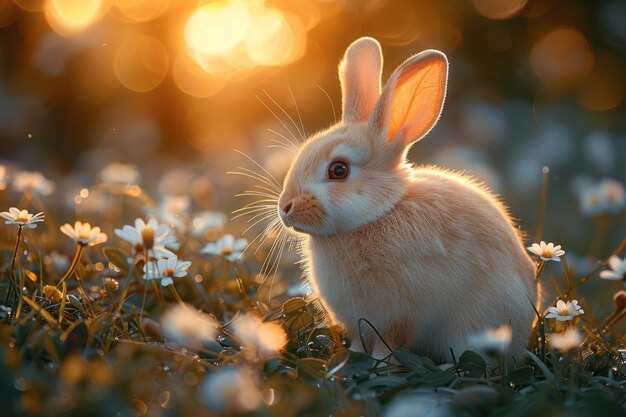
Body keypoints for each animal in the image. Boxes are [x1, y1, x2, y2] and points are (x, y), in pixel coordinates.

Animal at [276, 36, 536, 360]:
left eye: (338, 170)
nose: (284, 208)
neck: (378, 214)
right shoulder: (361, 324)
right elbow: (361, 342)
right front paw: (354, 358)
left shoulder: (402, 315)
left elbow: (391, 343)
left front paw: (379, 363)